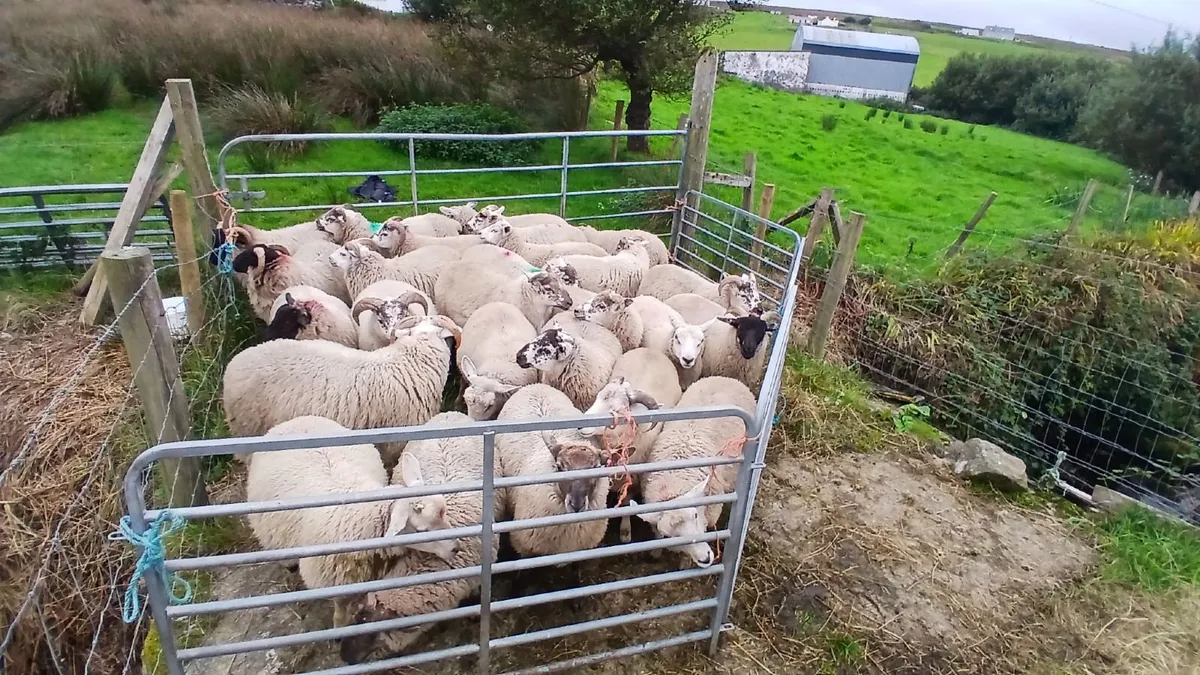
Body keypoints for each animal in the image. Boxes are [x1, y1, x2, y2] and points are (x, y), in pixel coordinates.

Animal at [245, 416, 454, 629]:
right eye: (421, 529)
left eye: (444, 510)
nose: (455, 548)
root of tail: (296, 420)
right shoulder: (335, 581)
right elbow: (340, 610)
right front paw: (340, 627)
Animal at [632, 376, 756, 568]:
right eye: (670, 535)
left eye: (696, 515)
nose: (706, 558)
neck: (674, 481)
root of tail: (725, 378)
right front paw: (656, 552)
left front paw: (685, 563)